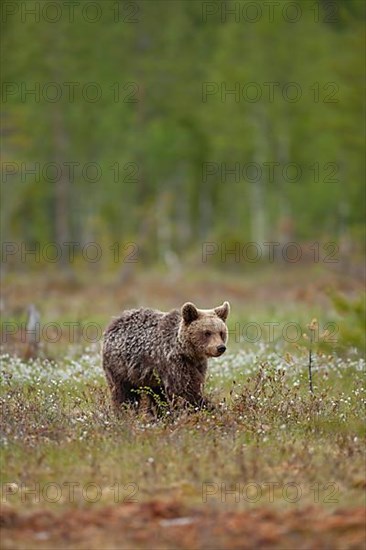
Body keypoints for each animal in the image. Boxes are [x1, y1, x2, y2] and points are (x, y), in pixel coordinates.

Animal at [101, 302, 230, 414]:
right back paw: (125, 412)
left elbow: (194, 384)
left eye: (221, 332)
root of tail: (114, 321)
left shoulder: (197, 365)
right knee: (123, 392)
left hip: (150, 377)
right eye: (207, 332)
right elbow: (186, 389)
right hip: (119, 367)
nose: (220, 347)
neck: (187, 352)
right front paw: (208, 407)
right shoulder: (173, 362)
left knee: (156, 394)